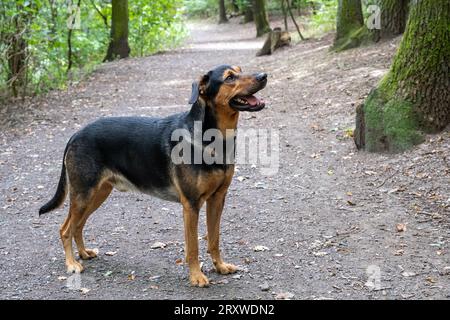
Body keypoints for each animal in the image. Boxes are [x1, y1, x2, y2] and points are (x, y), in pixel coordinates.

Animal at [39, 65, 268, 288]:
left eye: (240, 70)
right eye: (229, 77)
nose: (263, 75)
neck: (211, 138)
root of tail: (76, 135)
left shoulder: (217, 199)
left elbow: (214, 239)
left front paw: (220, 266)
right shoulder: (191, 204)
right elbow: (193, 247)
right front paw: (196, 276)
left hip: (98, 193)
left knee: (78, 225)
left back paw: (84, 253)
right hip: (83, 194)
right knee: (65, 229)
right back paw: (72, 263)